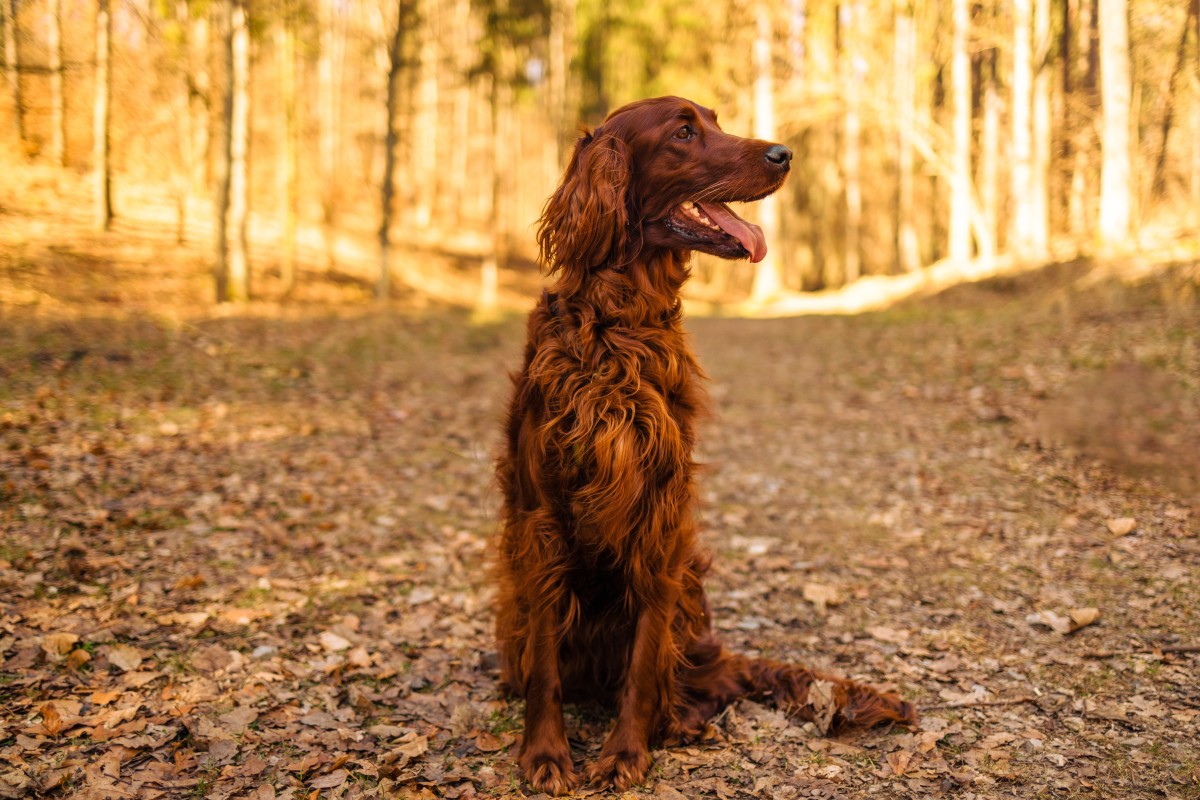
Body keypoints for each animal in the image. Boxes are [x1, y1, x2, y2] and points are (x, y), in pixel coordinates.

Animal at [492, 97, 912, 791]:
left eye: (715, 121)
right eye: (684, 132)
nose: (784, 153)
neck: (621, 326)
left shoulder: (660, 518)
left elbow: (644, 663)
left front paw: (626, 751)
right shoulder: (541, 517)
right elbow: (546, 663)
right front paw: (547, 753)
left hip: (689, 588)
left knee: (687, 677)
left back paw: (682, 721)